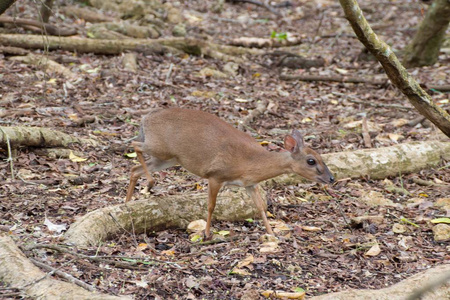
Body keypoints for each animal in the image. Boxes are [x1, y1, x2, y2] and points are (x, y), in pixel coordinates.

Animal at [125, 108, 332, 239]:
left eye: (320, 156)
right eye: (311, 161)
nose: (331, 178)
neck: (250, 163)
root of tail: (145, 118)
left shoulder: (250, 184)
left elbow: (260, 208)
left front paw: (272, 233)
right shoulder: (216, 175)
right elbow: (211, 206)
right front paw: (207, 233)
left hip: (169, 158)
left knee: (134, 169)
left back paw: (127, 202)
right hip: (160, 148)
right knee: (135, 145)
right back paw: (150, 183)